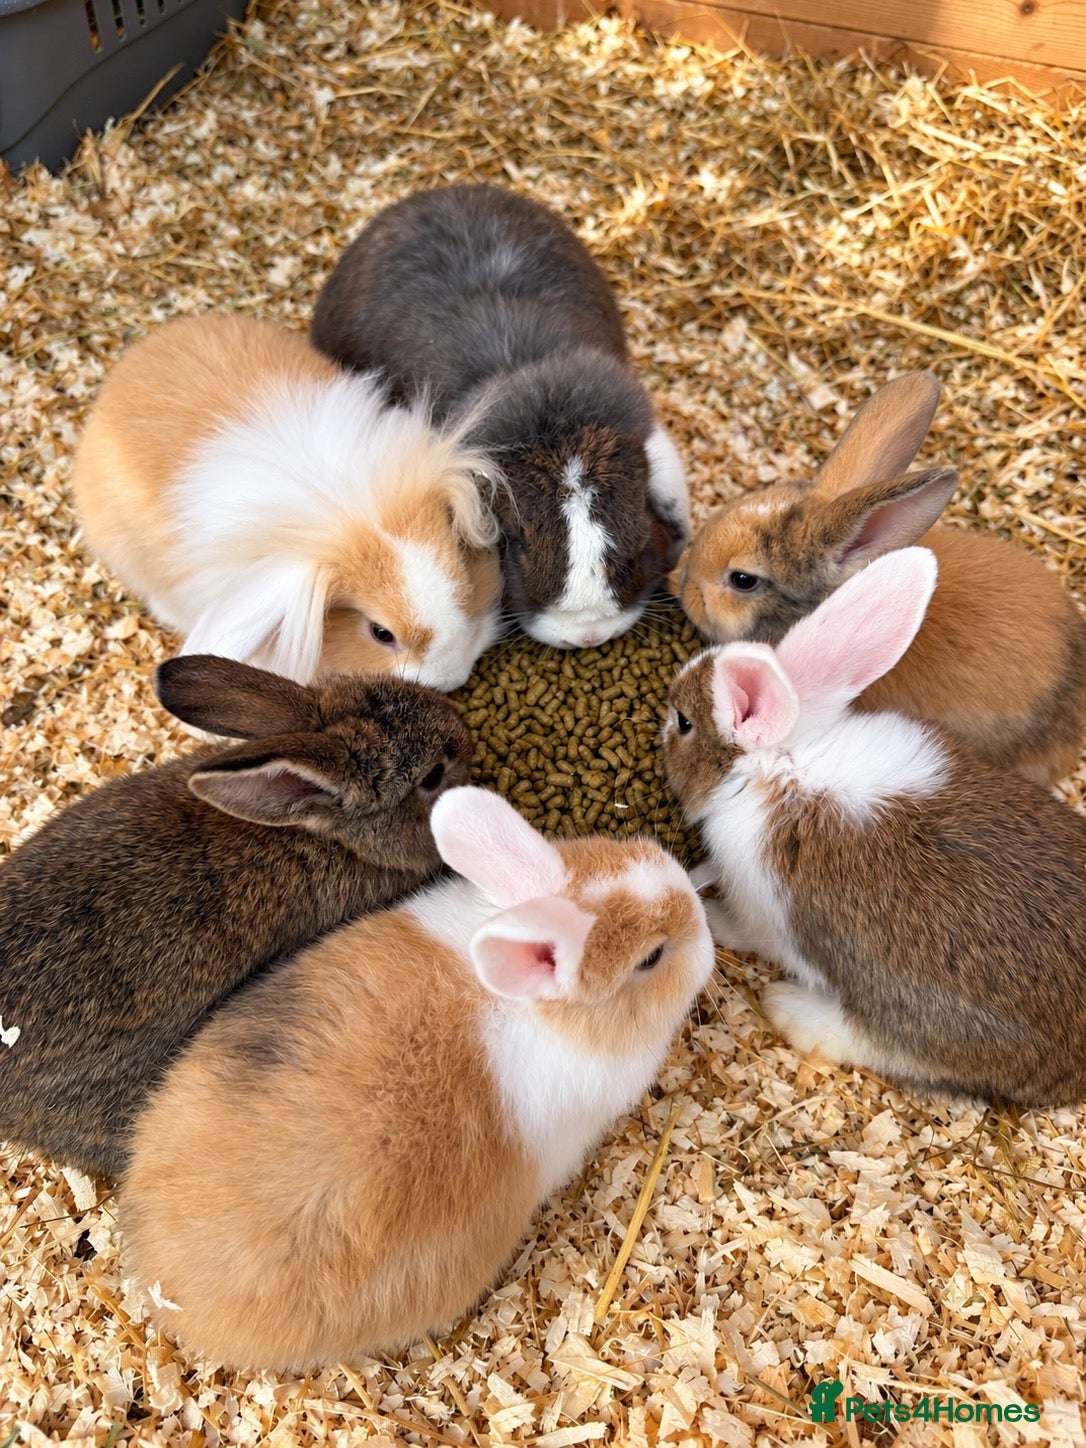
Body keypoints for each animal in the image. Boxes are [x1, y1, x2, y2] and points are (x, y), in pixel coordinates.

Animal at [664, 546, 1086, 1107]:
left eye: (685, 723)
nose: (663, 722)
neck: (782, 766)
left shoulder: (762, 912)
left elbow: (744, 929)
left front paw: (711, 914)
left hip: (925, 1025)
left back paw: (788, 1007)